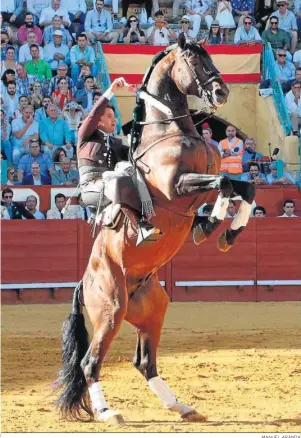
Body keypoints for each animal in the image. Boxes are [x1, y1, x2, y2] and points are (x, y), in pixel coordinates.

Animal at [55, 34, 253, 424]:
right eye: (194, 60)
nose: (221, 92)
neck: (171, 130)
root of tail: (83, 285)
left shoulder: (201, 182)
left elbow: (244, 187)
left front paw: (227, 231)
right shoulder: (177, 186)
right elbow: (225, 182)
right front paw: (209, 226)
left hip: (153, 309)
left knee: (144, 361)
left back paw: (181, 406)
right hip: (110, 310)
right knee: (90, 362)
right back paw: (107, 412)